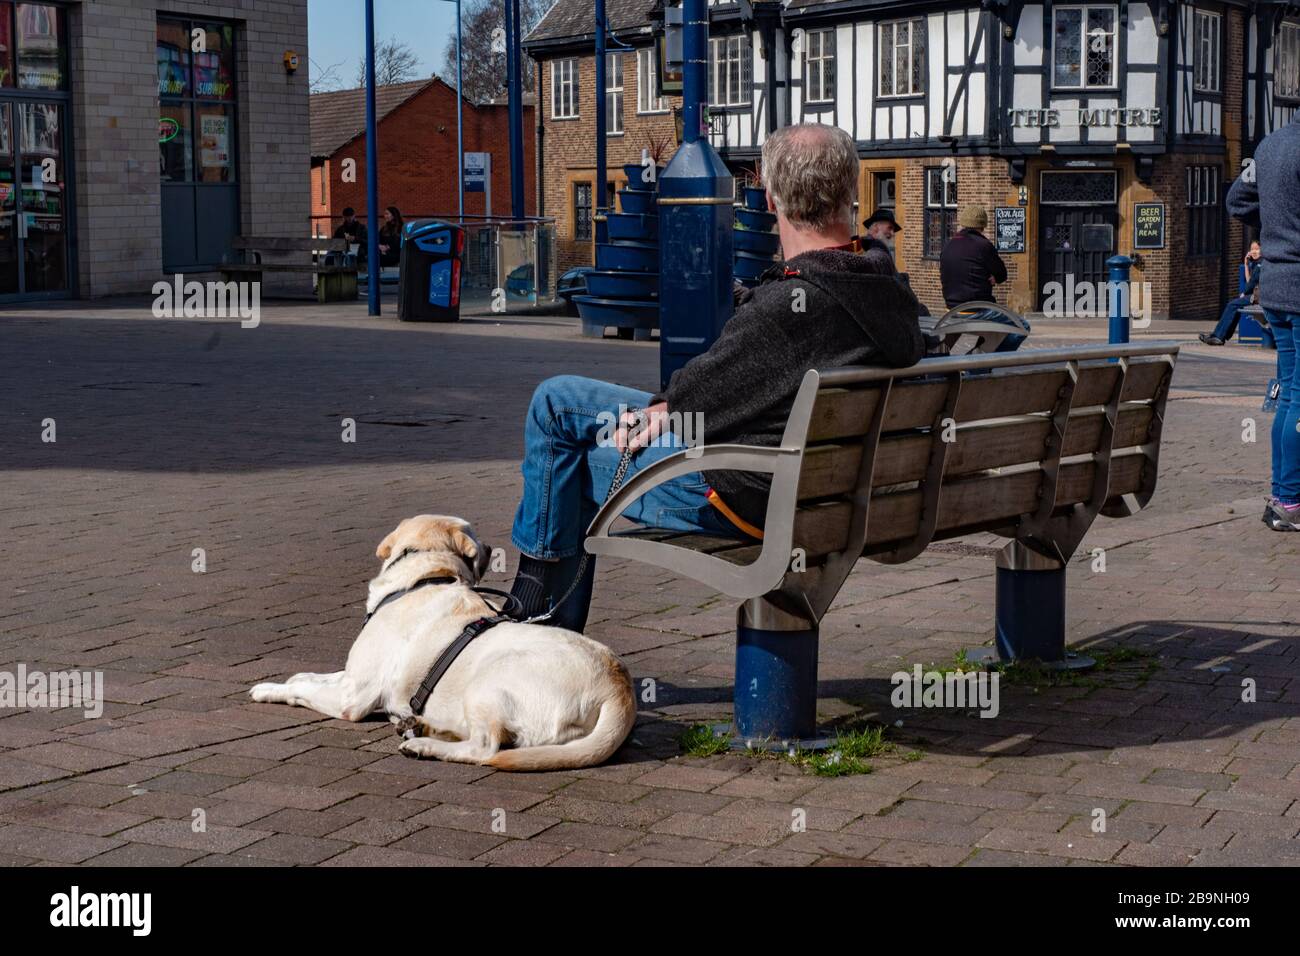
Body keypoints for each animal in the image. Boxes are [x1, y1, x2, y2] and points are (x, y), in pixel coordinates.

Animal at [248, 515, 634, 770]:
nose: (491, 546)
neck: (426, 576)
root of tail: (619, 690)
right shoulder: (351, 675)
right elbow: (307, 677)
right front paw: (286, 681)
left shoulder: (352, 698)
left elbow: (301, 690)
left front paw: (269, 690)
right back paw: (421, 727)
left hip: (488, 682)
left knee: (486, 748)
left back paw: (424, 745)